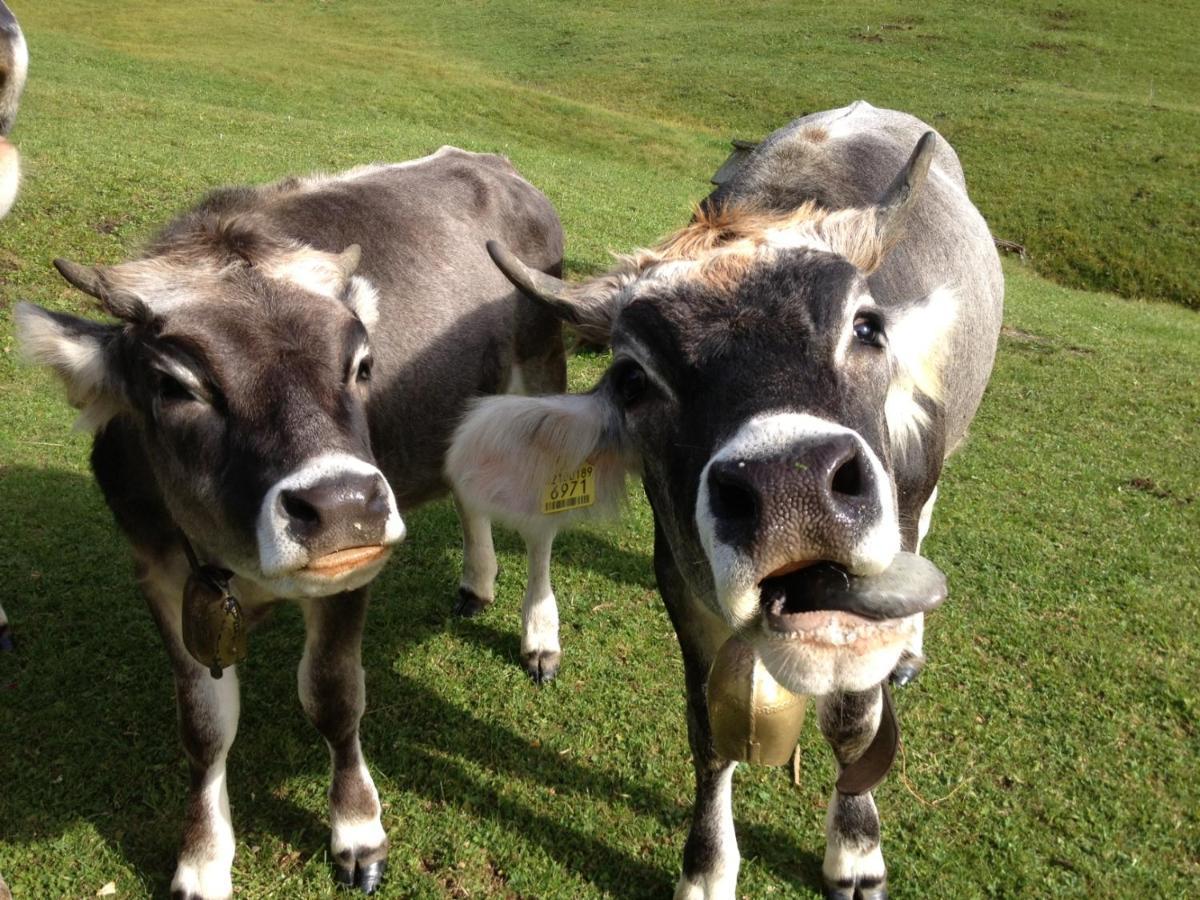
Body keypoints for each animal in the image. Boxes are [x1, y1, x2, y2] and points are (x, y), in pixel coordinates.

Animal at [15, 150, 566, 900]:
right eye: (175, 384)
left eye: (362, 364)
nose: (344, 506)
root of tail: (489, 162)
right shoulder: (157, 571)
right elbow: (204, 724)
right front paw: (203, 858)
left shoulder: (351, 572)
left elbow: (333, 696)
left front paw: (358, 832)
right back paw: (477, 582)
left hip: (541, 367)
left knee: (540, 525)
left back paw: (539, 635)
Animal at [451, 100, 1003, 900]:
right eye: (632, 378)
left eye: (866, 326)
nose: (792, 486)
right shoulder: (683, 581)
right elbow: (708, 730)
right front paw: (708, 867)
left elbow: (854, 721)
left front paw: (856, 850)